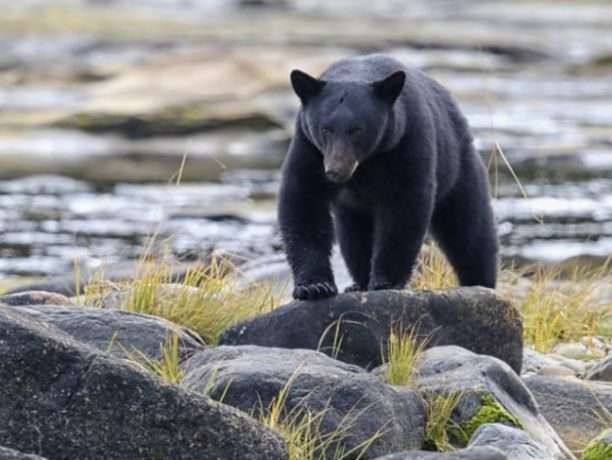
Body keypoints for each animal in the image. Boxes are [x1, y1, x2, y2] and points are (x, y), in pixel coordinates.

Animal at [278, 54, 498, 302]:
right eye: (325, 128)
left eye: (357, 129)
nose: (335, 171)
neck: (367, 163)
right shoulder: (308, 146)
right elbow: (303, 198)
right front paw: (314, 286)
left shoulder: (407, 140)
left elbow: (405, 206)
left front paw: (385, 282)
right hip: (352, 207)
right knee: (353, 239)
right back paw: (357, 284)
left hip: (458, 168)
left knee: (470, 230)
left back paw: (481, 283)